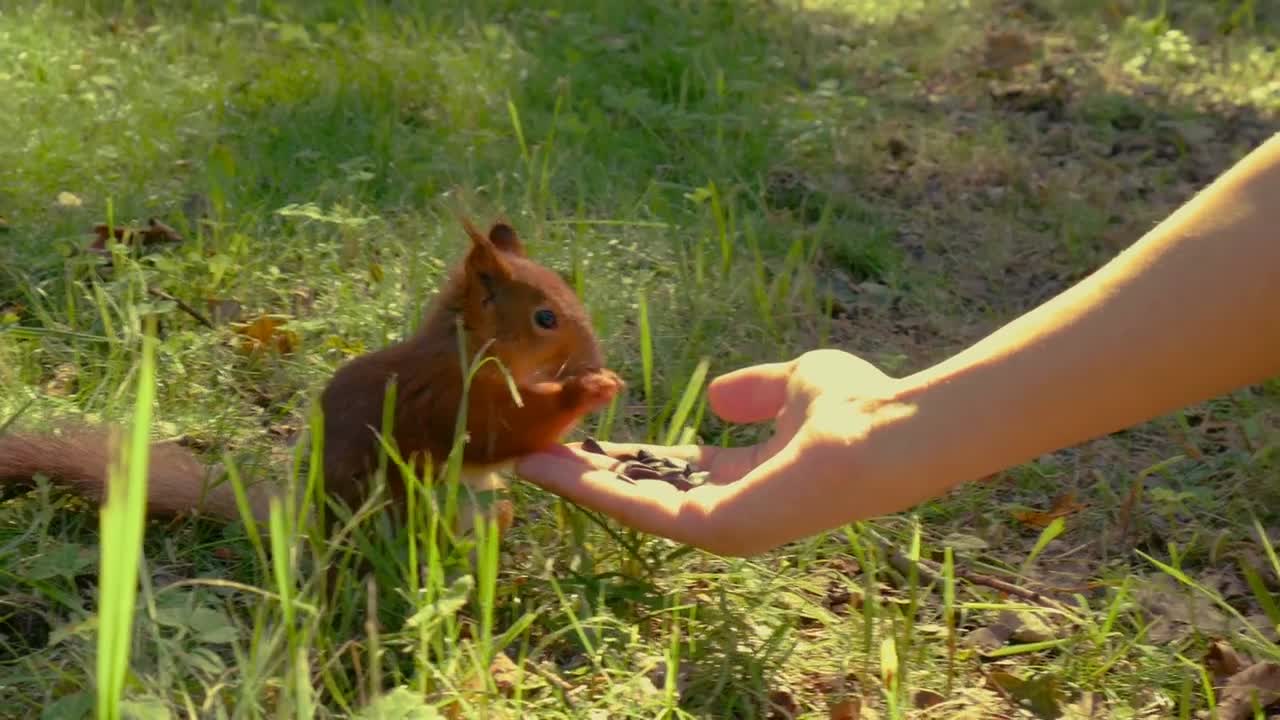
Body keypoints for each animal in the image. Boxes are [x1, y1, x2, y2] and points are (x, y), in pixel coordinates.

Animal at [0, 215, 622, 535]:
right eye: (546, 318)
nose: (595, 357)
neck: (463, 352)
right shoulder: (442, 398)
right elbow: (502, 431)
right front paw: (588, 388)